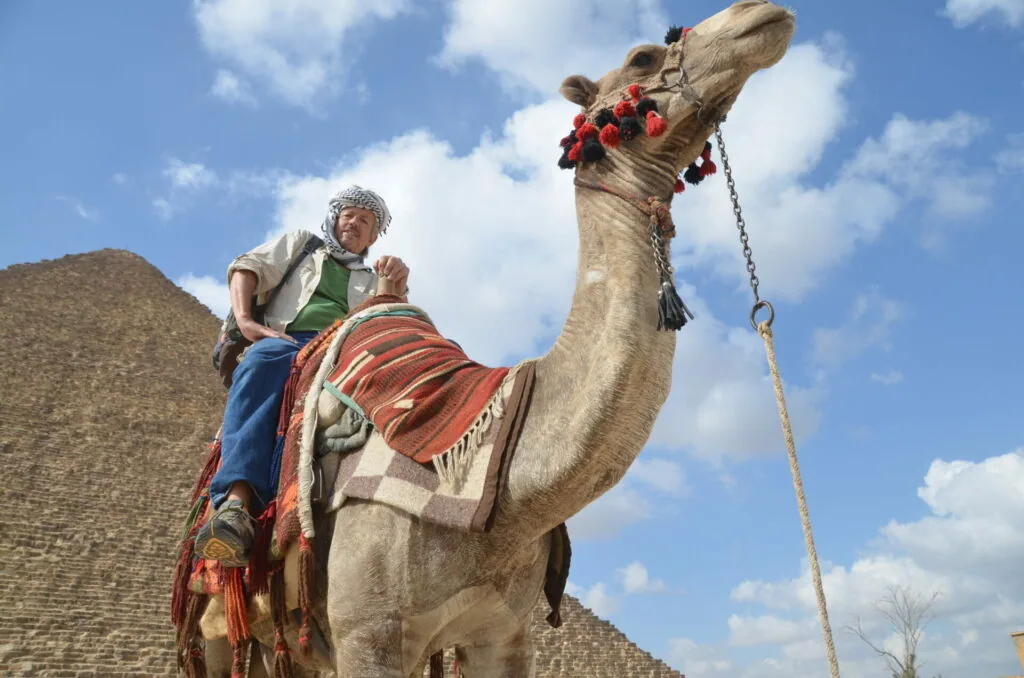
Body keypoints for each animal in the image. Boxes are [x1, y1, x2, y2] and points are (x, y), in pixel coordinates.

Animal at [200, 2, 795, 675]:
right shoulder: (369, 633)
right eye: (643, 56)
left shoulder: (504, 633)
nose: (757, 13)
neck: (502, 486)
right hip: (222, 623)